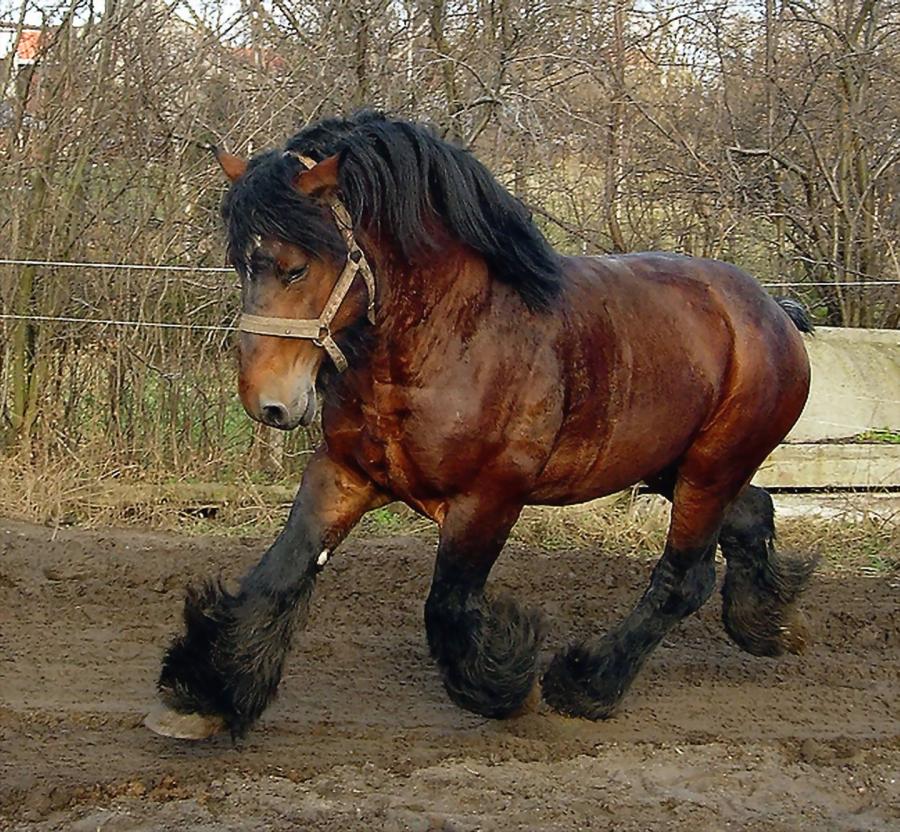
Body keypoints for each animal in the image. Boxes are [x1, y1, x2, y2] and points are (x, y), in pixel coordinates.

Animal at [146, 112, 816, 740]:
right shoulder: (344, 473)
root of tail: (773, 310)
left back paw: (588, 684)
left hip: (710, 467)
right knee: (751, 516)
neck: (448, 341)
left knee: (683, 578)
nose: (268, 402)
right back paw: (771, 623)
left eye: (293, 268)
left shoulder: (489, 497)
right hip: (671, 467)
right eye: (241, 264)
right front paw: (205, 696)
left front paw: (508, 683)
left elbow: (447, 608)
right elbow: (279, 575)